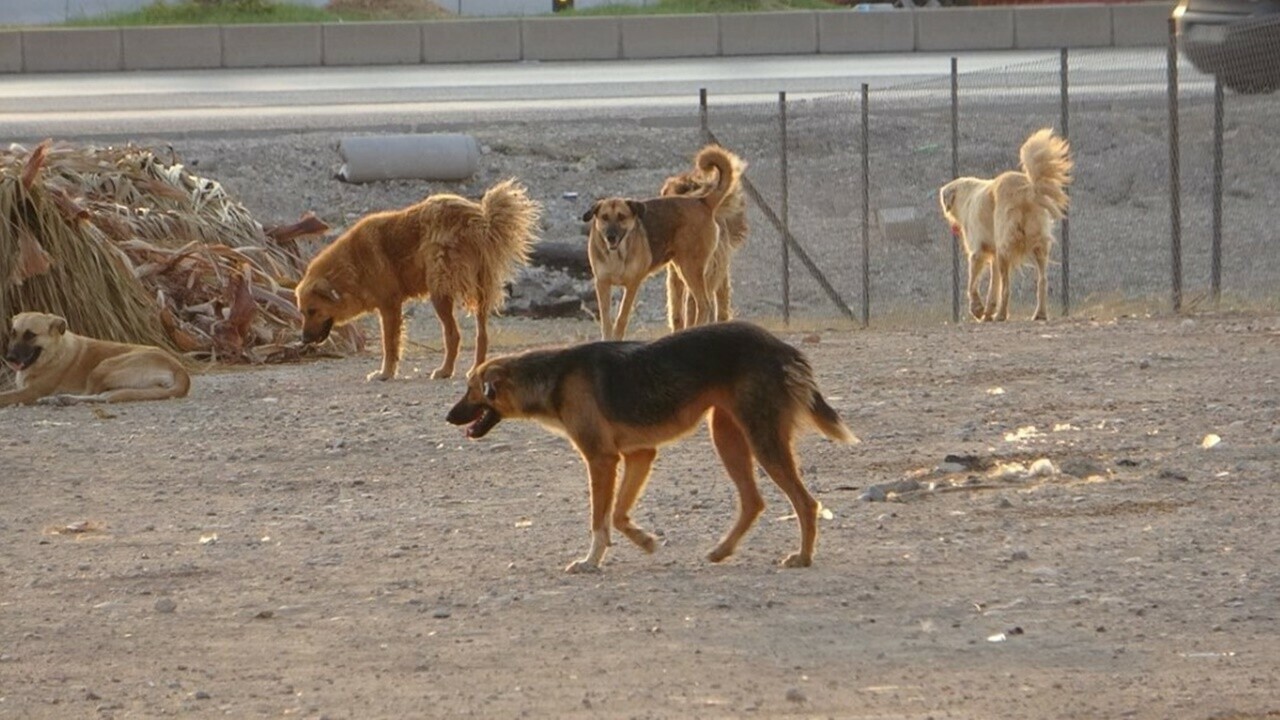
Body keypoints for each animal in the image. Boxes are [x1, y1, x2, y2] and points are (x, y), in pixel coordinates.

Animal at [0, 311, 189, 407]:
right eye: (13, 333)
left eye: (30, 335)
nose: (9, 358)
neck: (52, 354)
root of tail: (179, 368)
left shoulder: (31, 391)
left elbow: (5, 396)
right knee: (104, 396)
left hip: (103, 367)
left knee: (93, 394)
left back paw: (59, 399)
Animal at [295, 178, 540, 381]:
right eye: (303, 312)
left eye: (313, 311)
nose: (303, 339)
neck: (351, 264)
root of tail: (479, 219)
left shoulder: (389, 306)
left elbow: (390, 344)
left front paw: (385, 373)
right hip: (480, 289)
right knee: (482, 334)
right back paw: (475, 369)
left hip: (439, 291)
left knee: (453, 335)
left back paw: (445, 371)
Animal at [583, 144, 737, 340]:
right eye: (604, 217)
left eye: (621, 217)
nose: (611, 236)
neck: (617, 254)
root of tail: (702, 201)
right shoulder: (602, 284)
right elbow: (606, 320)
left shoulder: (632, 285)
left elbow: (621, 318)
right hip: (681, 269)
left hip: (690, 268)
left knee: (704, 304)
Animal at [942, 127, 1070, 320]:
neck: (966, 195)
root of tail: (1027, 189)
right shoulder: (993, 256)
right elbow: (992, 288)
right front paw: (987, 312)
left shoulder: (978, 253)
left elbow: (972, 284)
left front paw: (978, 309)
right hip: (1038, 247)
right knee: (1042, 281)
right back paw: (1039, 314)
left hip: (1005, 248)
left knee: (1007, 288)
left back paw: (1001, 315)